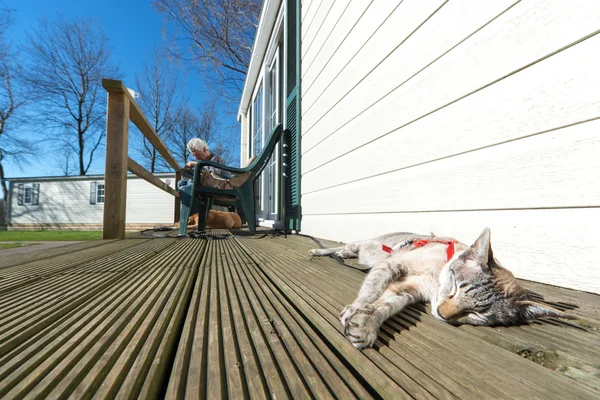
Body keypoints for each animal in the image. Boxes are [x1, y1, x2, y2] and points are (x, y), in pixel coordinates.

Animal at [310, 230, 572, 348]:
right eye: (456, 286)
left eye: (479, 314)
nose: (442, 314)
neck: (435, 278)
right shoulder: (393, 265)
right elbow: (370, 292)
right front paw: (354, 309)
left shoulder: (405, 288)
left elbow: (385, 306)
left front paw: (365, 326)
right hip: (361, 245)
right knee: (340, 248)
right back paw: (319, 250)